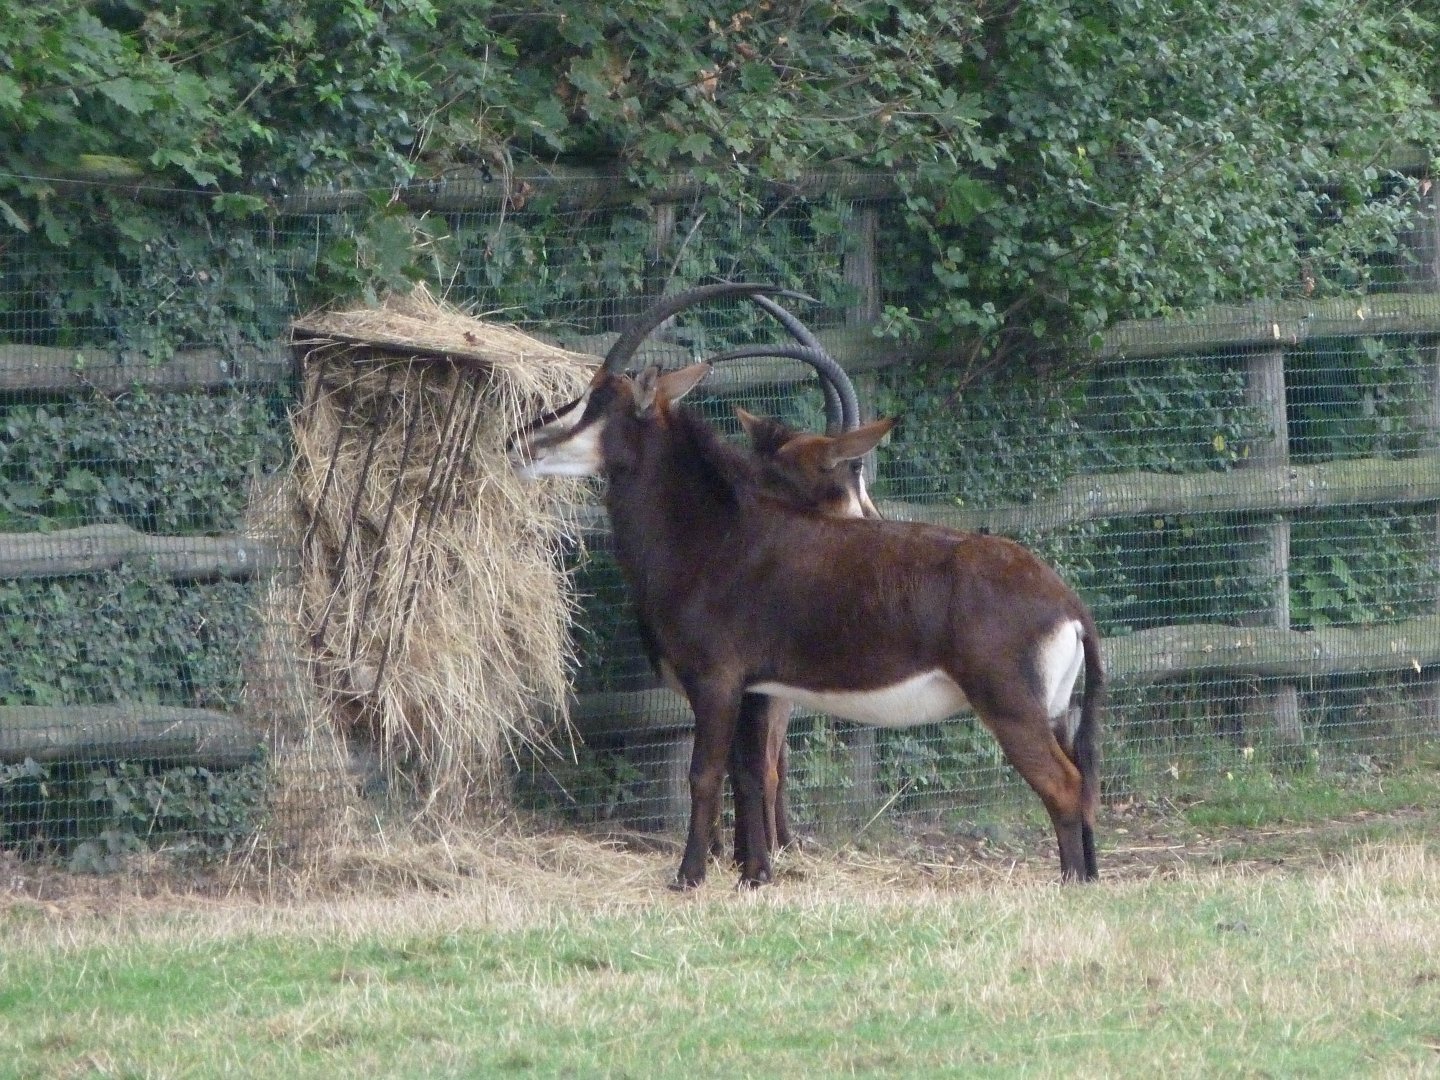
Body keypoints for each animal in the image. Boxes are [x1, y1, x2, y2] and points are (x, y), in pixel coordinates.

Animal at [512, 347, 1104, 888]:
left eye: (595, 401)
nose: (520, 442)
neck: (716, 533)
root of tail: (1067, 603)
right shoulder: (756, 691)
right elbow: (752, 774)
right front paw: (755, 875)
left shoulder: (717, 681)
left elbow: (704, 774)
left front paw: (689, 877)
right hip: (1055, 710)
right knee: (1083, 782)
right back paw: (1090, 877)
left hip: (1011, 708)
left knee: (1065, 785)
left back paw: (1071, 883)